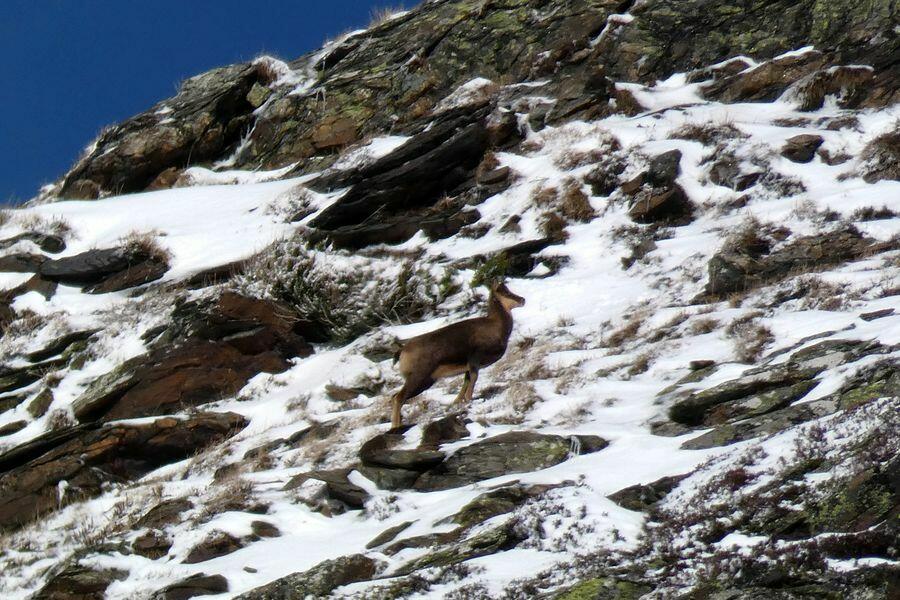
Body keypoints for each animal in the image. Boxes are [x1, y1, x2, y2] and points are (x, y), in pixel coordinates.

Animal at [390, 281, 525, 429]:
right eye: (504, 292)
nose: (522, 300)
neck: (495, 327)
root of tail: (402, 351)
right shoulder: (474, 359)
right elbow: (473, 379)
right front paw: (469, 400)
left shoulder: (468, 366)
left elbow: (466, 382)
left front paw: (459, 401)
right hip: (419, 378)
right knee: (398, 398)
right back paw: (395, 427)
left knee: (396, 397)